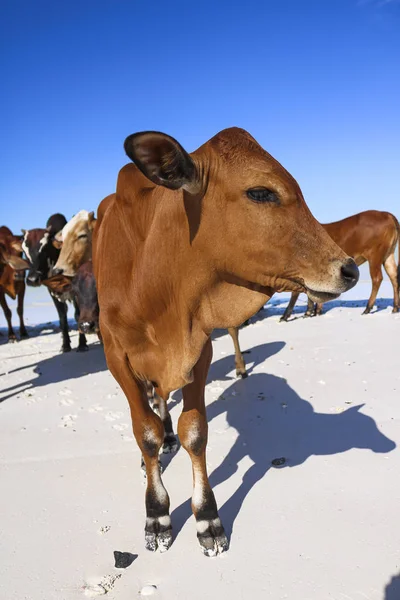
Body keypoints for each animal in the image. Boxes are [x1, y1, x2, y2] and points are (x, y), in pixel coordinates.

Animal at [21, 213, 88, 352]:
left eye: (45, 247)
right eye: (24, 251)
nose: (32, 279)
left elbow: (78, 315)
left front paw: (82, 344)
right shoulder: (53, 293)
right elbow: (62, 318)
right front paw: (66, 345)